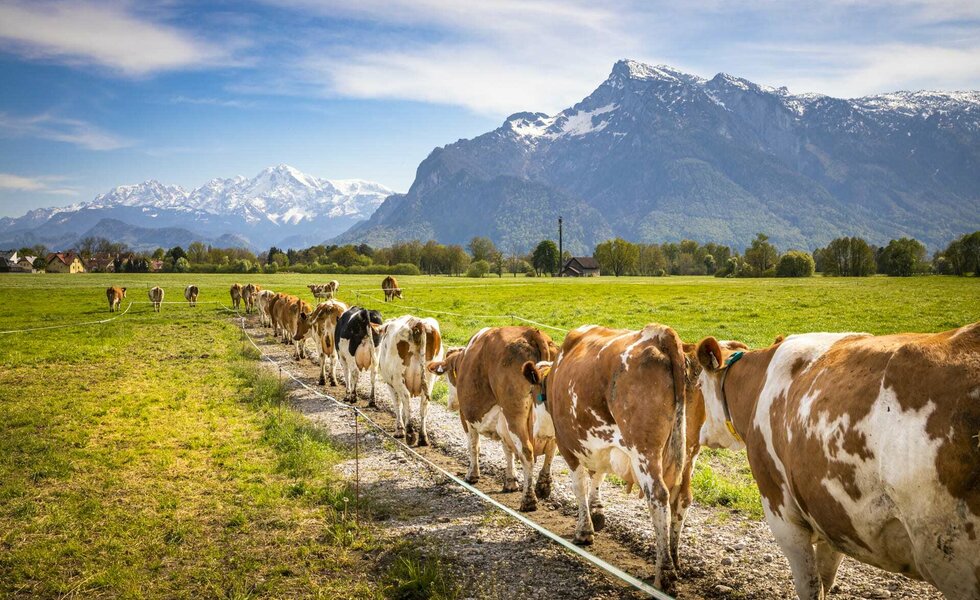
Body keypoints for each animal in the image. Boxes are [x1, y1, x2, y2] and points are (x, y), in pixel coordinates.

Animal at [378, 314, 448, 446]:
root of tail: (417, 323)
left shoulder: (390, 384)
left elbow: (397, 404)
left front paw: (399, 430)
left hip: (398, 377)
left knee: (406, 399)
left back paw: (410, 433)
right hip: (429, 378)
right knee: (424, 405)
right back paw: (423, 437)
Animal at [426, 326, 560, 512]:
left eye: (447, 376)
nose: (451, 404)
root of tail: (532, 332)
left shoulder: (466, 417)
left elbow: (474, 445)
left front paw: (472, 475)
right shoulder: (502, 424)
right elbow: (508, 450)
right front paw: (510, 481)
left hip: (514, 415)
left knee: (527, 452)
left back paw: (528, 500)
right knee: (551, 448)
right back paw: (543, 485)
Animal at [520, 324, 744, 592]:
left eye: (532, 393)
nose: (535, 433)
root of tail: (661, 335)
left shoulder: (568, 444)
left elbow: (580, 485)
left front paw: (584, 530)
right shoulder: (601, 443)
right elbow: (598, 475)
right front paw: (597, 512)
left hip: (645, 451)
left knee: (658, 495)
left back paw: (665, 571)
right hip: (689, 451)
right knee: (682, 498)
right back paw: (674, 559)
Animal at [696, 324, 980, 600]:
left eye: (698, 385)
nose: (701, 433)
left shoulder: (781, 513)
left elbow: (809, 586)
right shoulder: (832, 516)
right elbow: (825, 579)